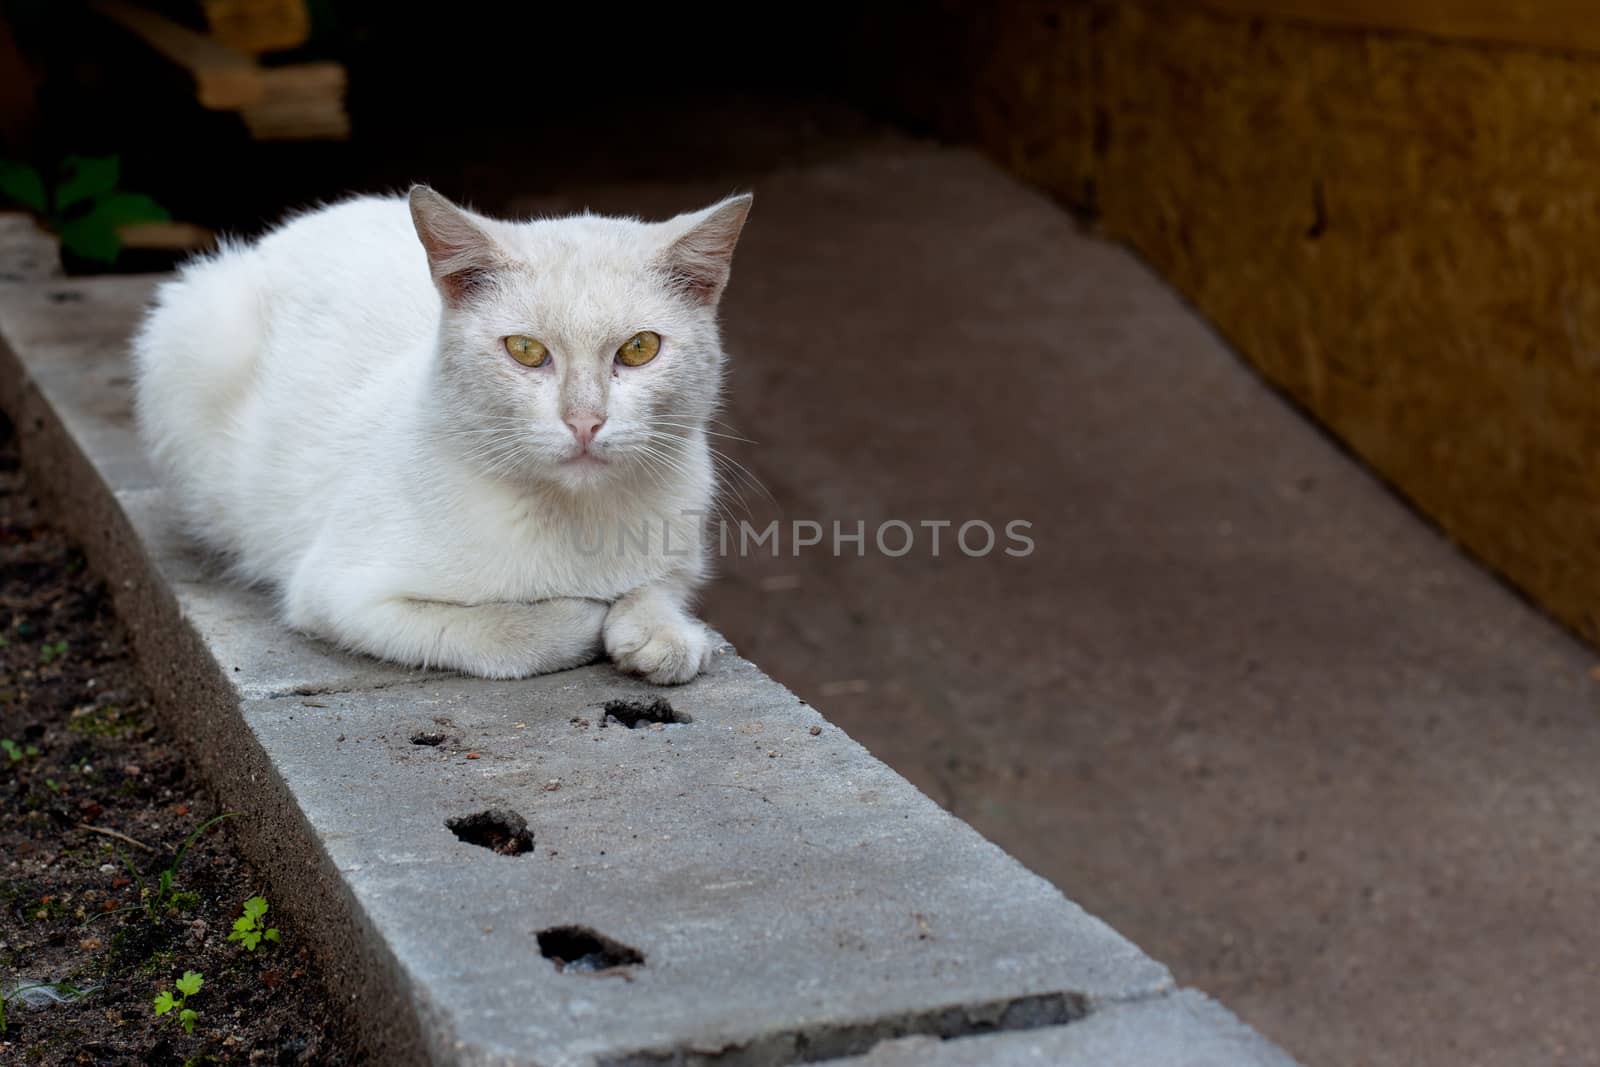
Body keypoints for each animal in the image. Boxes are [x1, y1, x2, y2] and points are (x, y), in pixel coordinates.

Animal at [131, 187, 748, 681]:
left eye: (639, 348)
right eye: (526, 350)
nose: (585, 420)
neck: (575, 517)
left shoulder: (679, 553)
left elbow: (657, 587)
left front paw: (664, 633)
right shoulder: (342, 595)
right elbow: (496, 631)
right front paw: (581, 618)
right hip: (197, 333)